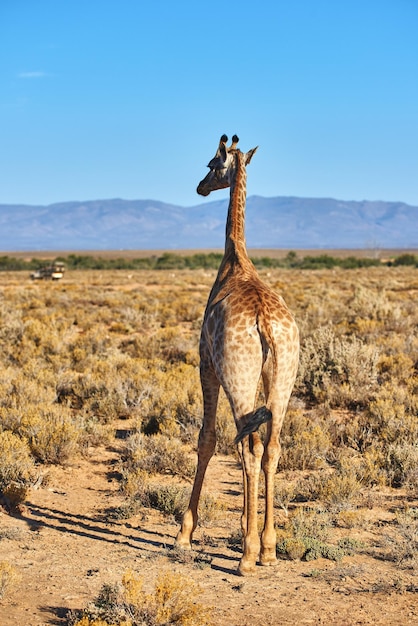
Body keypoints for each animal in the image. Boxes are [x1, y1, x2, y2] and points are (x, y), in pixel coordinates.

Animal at [175, 134, 298, 572]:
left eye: (212, 164)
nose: (199, 187)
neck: (235, 260)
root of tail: (266, 325)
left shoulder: (206, 365)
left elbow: (207, 439)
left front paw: (184, 534)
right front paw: (250, 527)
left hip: (237, 379)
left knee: (246, 447)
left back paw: (247, 555)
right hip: (282, 381)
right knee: (271, 447)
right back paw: (269, 548)